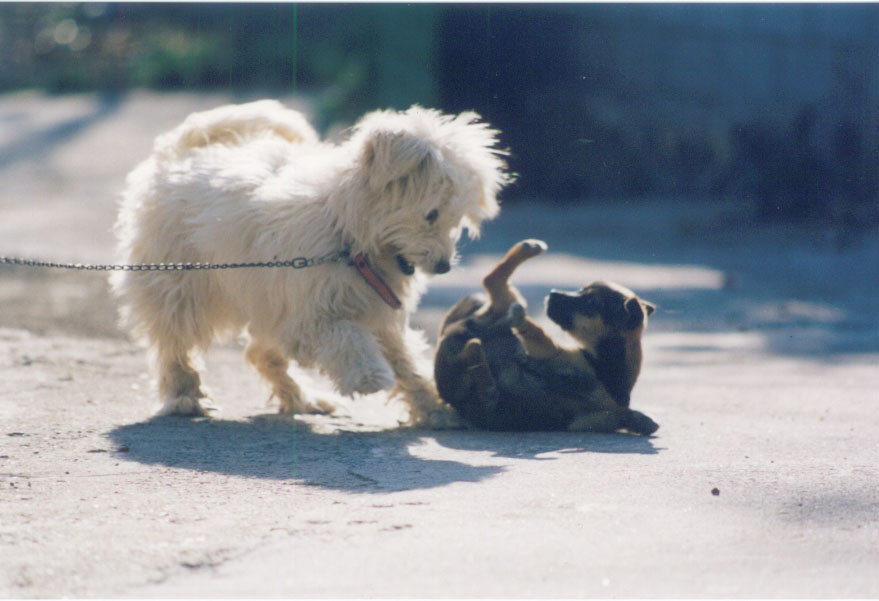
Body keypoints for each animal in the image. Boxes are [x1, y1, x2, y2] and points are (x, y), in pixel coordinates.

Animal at [111, 98, 508, 424]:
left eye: (457, 220)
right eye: (431, 215)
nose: (444, 266)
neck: (347, 237)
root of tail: (177, 151)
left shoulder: (375, 311)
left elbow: (405, 361)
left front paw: (432, 408)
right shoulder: (309, 314)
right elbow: (345, 334)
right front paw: (368, 375)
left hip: (262, 298)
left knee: (260, 353)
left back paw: (301, 399)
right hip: (180, 283)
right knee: (176, 343)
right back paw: (186, 397)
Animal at [436, 238, 656, 432]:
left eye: (590, 303)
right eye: (581, 290)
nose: (552, 293)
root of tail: (449, 331)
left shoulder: (553, 354)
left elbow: (539, 336)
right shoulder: (553, 353)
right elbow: (538, 335)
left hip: (457, 378)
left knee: (473, 344)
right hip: (502, 307)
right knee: (492, 282)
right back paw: (529, 249)